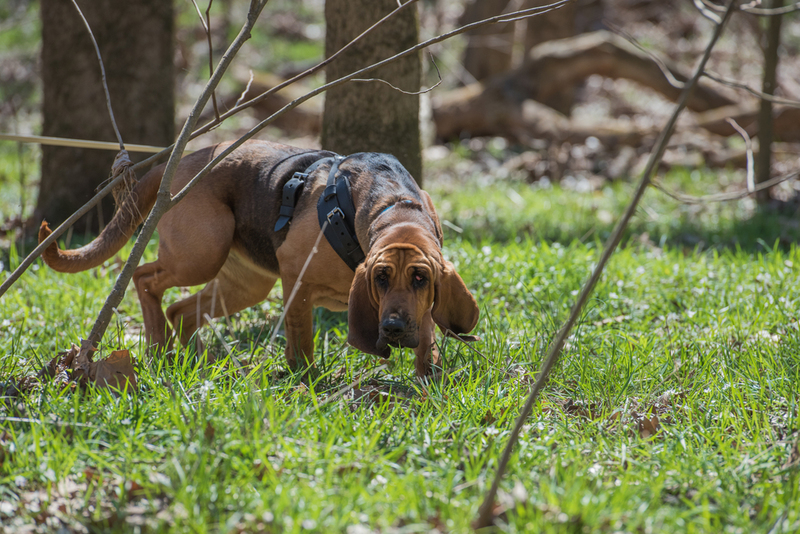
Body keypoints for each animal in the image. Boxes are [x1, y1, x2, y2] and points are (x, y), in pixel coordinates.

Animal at [40, 140, 478, 378]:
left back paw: (195, 359)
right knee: (145, 278)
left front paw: (428, 381)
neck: (394, 206)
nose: (392, 328)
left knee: (182, 310)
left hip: (246, 284)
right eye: (381, 278)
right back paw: (158, 345)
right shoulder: (297, 284)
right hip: (201, 255)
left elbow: (428, 344)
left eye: (421, 280)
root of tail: (181, 162)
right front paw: (307, 381)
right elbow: (301, 342)